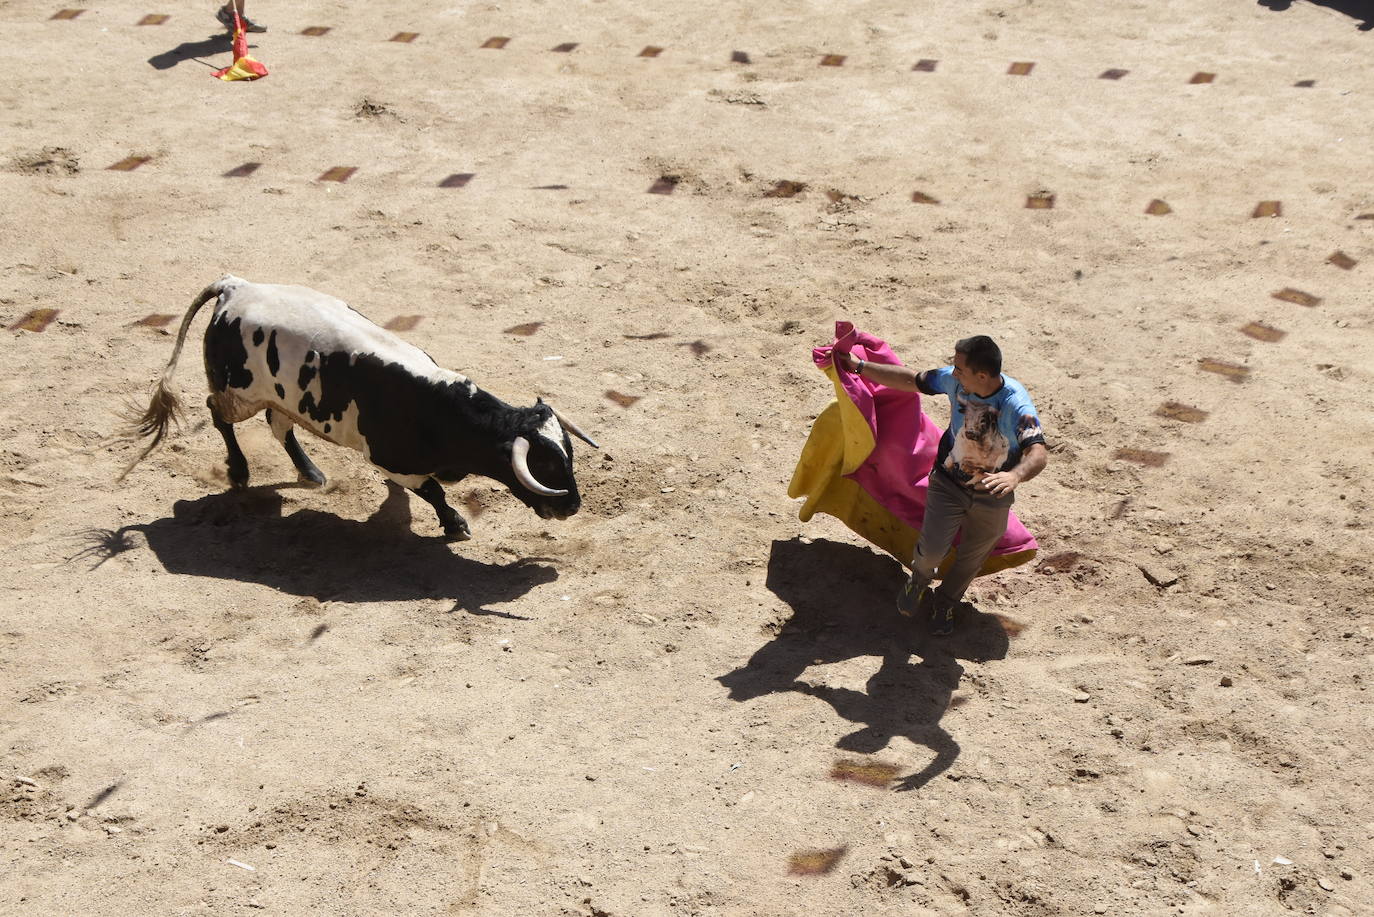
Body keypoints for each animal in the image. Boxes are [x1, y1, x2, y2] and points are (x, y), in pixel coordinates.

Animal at [116, 276, 590, 541]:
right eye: (544, 466)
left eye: (568, 457)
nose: (572, 507)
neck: (440, 408)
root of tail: (236, 287)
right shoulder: (392, 461)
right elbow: (433, 492)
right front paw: (455, 525)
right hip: (239, 394)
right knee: (218, 413)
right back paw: (239, 472)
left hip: (280, 396)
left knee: (279, 426)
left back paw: (311, 473)